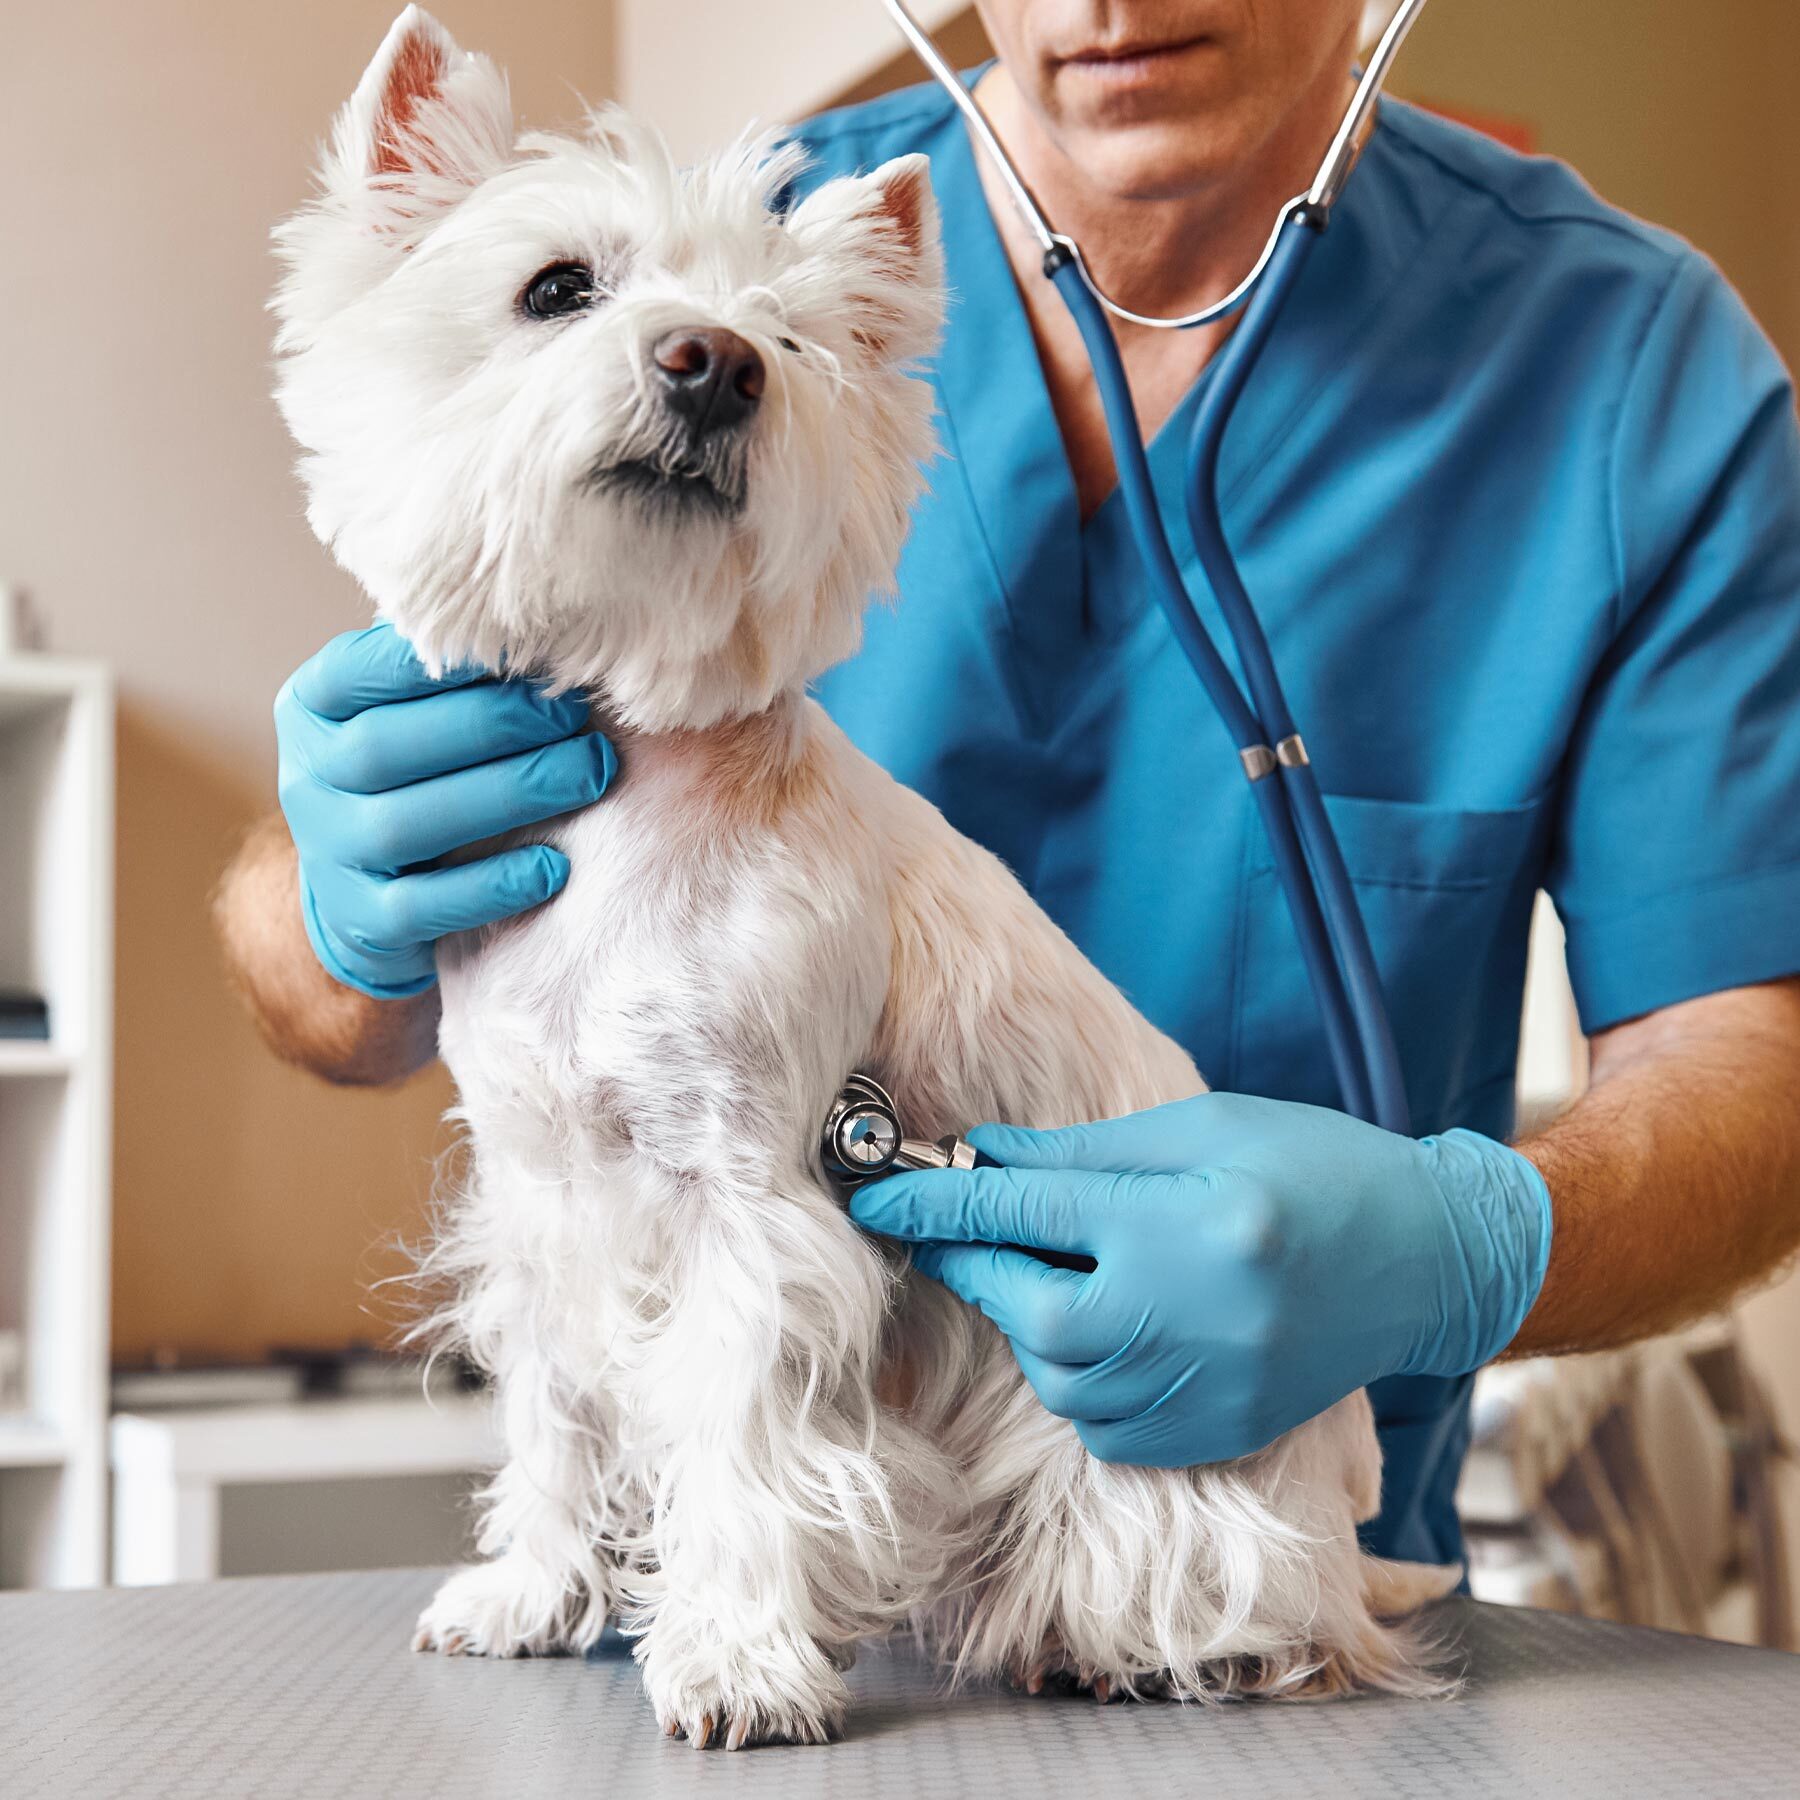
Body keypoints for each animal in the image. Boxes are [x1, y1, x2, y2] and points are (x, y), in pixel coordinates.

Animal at [273, 7, 1454, 1749]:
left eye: (793, 341)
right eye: (557, 287)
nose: (715, 361)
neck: (635, 780)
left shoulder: (755, 1198)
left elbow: (738, 1439)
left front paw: (736, 1665)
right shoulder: (541, 1190)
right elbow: (556, 1408)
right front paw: (534, 1594)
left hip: (1165, 1456)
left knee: (1245, 1586)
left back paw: (1155, 1647)